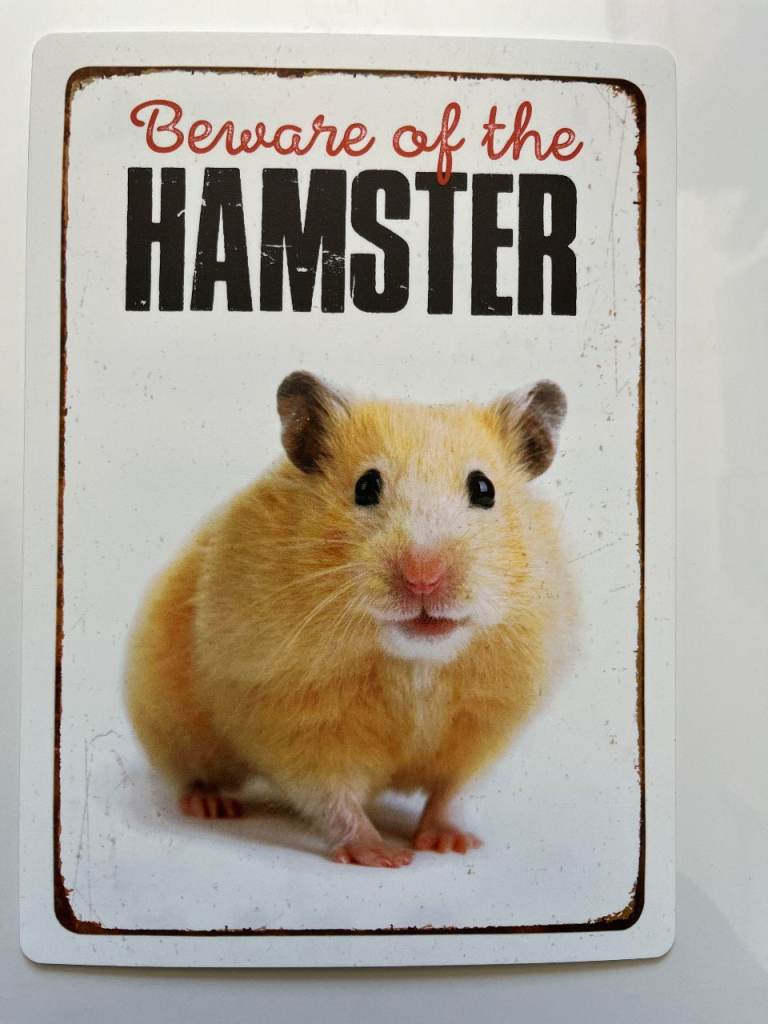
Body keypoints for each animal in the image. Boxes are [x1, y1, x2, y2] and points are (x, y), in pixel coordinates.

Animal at [125, 371, 576, 868]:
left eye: (484, 489)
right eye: (366, 487)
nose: (423, 577)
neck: (415, 662)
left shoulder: (485, 726)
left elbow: (452, 792)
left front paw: (450, 844)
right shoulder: (294, 721)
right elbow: (333, 797)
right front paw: (385, 856)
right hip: (170, 720)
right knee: (190, 773)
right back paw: (210, 805)